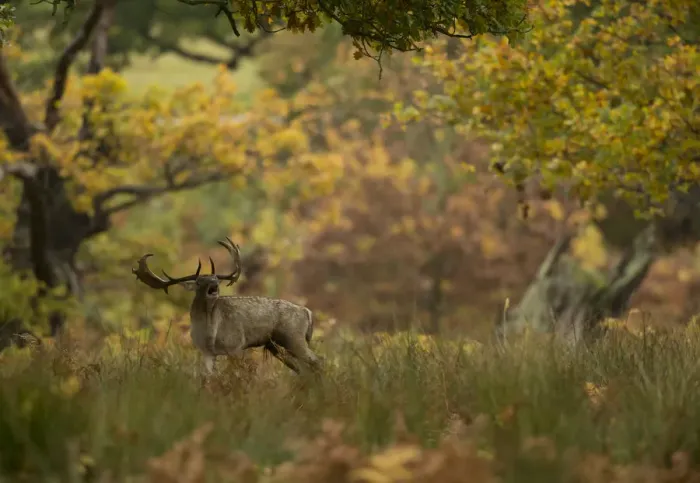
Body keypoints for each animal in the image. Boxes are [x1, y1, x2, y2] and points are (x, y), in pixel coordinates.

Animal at [131, 237, 321, 376]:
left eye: (215, 277)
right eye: (199, 281)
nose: (214, 283)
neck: (210, 332)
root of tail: (307, 312)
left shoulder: (236, 346)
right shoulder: (206, 352)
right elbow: (208, 378)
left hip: (293, 337)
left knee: (317, 361)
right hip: (276, 346)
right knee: (302, 368)